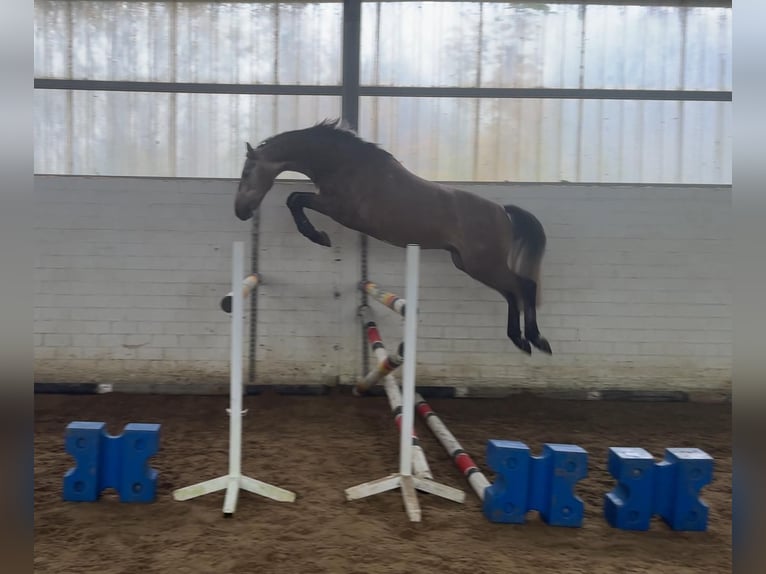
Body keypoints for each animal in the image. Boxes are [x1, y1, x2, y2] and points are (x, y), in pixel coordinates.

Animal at [234, 119, 551, 355]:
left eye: (248, 172)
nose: (240, 211)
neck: (343, 163)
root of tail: (502, 211)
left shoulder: (336, 207)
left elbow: (295, 199)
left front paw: (319, 236)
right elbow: (295, 199)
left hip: (483, 265)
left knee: (524, 286)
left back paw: (536, 340)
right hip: (470, 265)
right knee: (512, 293)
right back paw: (520, 340)